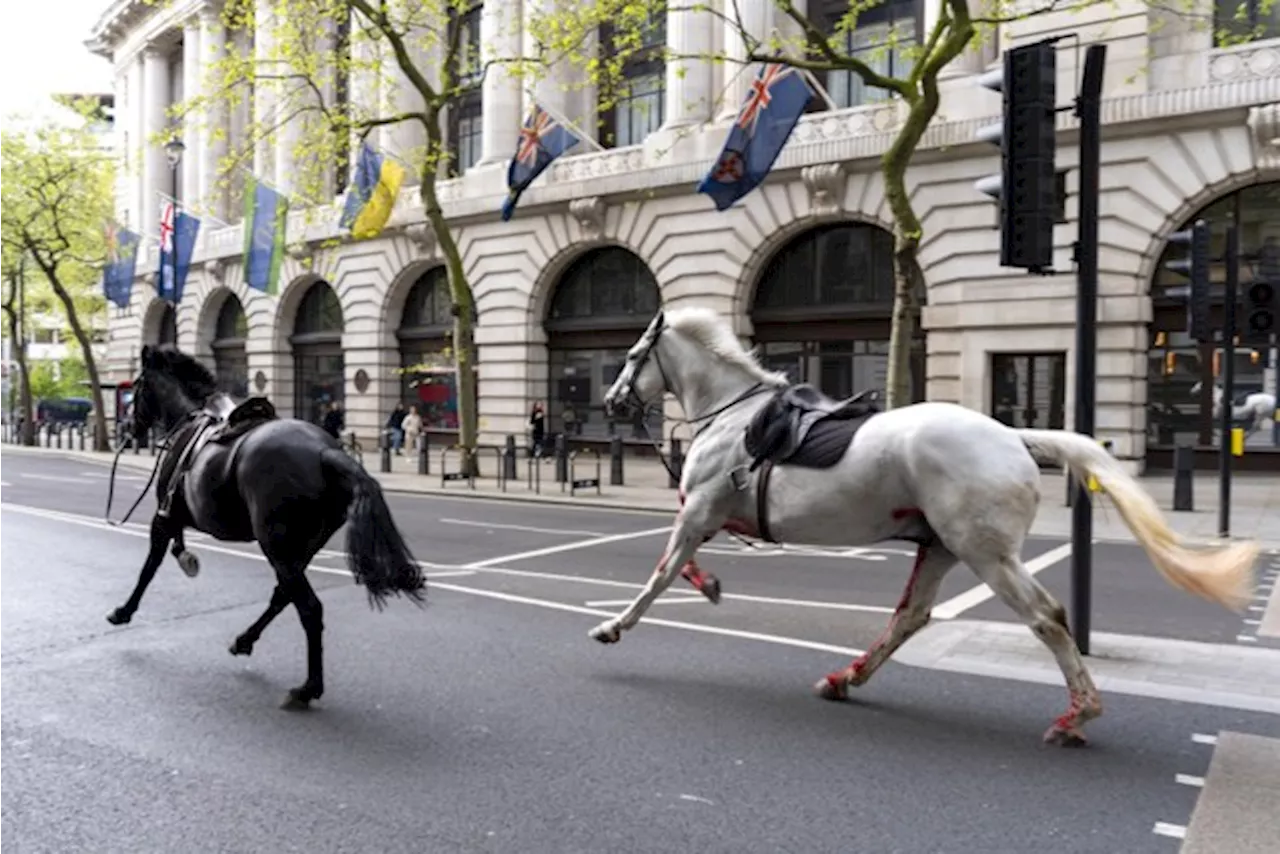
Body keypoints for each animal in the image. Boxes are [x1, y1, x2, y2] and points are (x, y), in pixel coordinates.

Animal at [110, 343, 424, 711]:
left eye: (137, 387)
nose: (127, 427)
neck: (190, 419)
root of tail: (326, 452)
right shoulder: (176, 517)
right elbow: (174, 547)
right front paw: (186, 560)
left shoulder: (164, 516)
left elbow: (149, 567)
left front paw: (124, 610)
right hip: (299, 548)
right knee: (283, 595)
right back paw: (245, 641)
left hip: (277, 545)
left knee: (309, 608)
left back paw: (307, 688)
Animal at [593, 308, 1254, 747]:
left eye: (629, 356)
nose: (611, 402)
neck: (734, 416)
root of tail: (1015, 437)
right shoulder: (707, 515)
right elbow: (682, 565)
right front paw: (709, 585)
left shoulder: (698, 510)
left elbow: (660, 574)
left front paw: (613, 626)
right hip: (940, 546)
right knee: (910, 616)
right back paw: (845, 677)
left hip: (985, 552)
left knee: (1047, 617)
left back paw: (1077, 715)